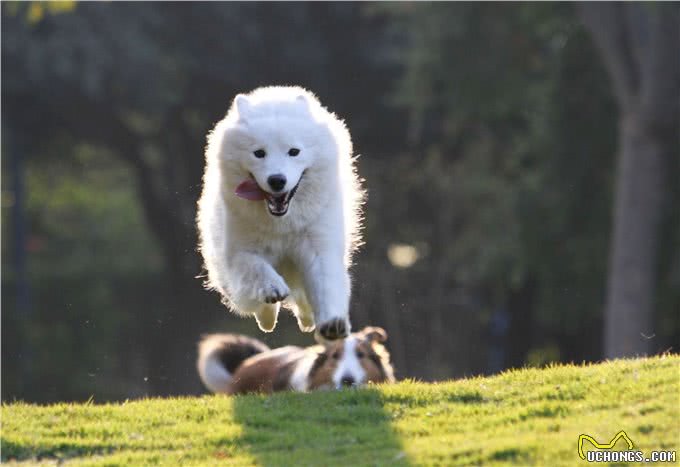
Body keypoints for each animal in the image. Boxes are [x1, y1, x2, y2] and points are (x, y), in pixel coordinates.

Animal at [197, 86, 364, 340]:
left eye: (294, 152)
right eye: (259, 153)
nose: (277, 180)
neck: (283, 223)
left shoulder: (319, 248)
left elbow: (326, 287)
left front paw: (332, 324)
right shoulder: (239, 251)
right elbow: (256, 267)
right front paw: (272, 287)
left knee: (303, 301)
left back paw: (307, 320)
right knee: (258, 304)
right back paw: (268, 319)